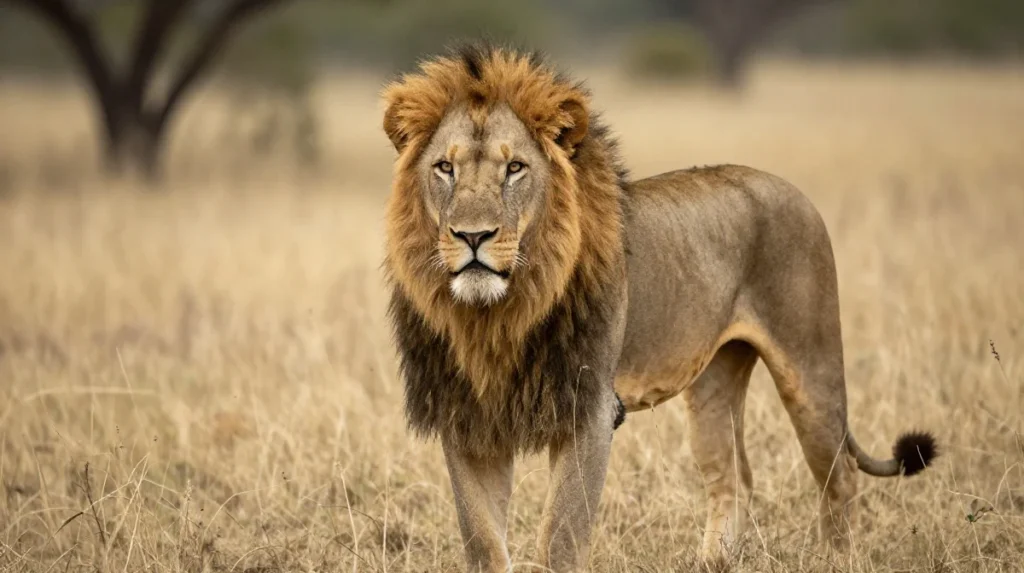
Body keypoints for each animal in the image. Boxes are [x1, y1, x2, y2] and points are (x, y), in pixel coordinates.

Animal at [380, 42, 938, 572]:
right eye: (445, 169)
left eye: (515, 168)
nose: (472, 236)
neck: (494, 316)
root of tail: (792, 189)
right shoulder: (467, 419)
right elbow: (483, 543)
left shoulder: (590, 411)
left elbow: (560, 537)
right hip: (715, 379)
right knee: (733, 475)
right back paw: (711, 563)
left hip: (811, 367)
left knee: (838, 475)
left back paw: (835, 559)